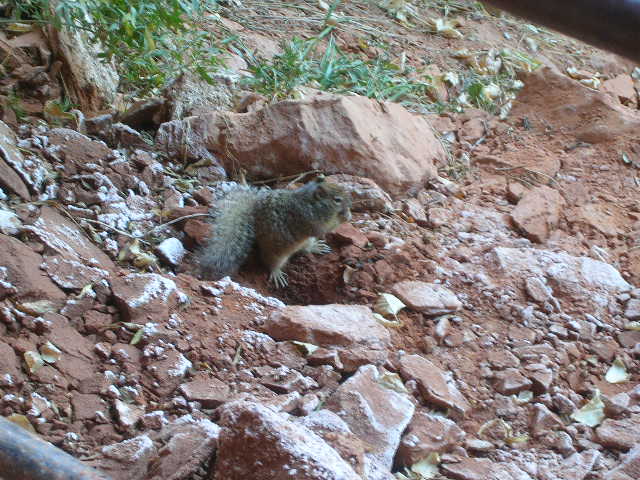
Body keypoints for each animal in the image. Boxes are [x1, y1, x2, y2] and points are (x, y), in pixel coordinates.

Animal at [197, 175, 352, 287]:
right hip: (277, 253)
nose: (349, 204)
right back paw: (276, 273)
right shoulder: (309, 219)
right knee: (270, 262)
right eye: (337, 200)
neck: (310, 202)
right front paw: (345, 216)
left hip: (305, 241)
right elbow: (324, 228)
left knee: (305, 248)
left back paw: (315, 247)